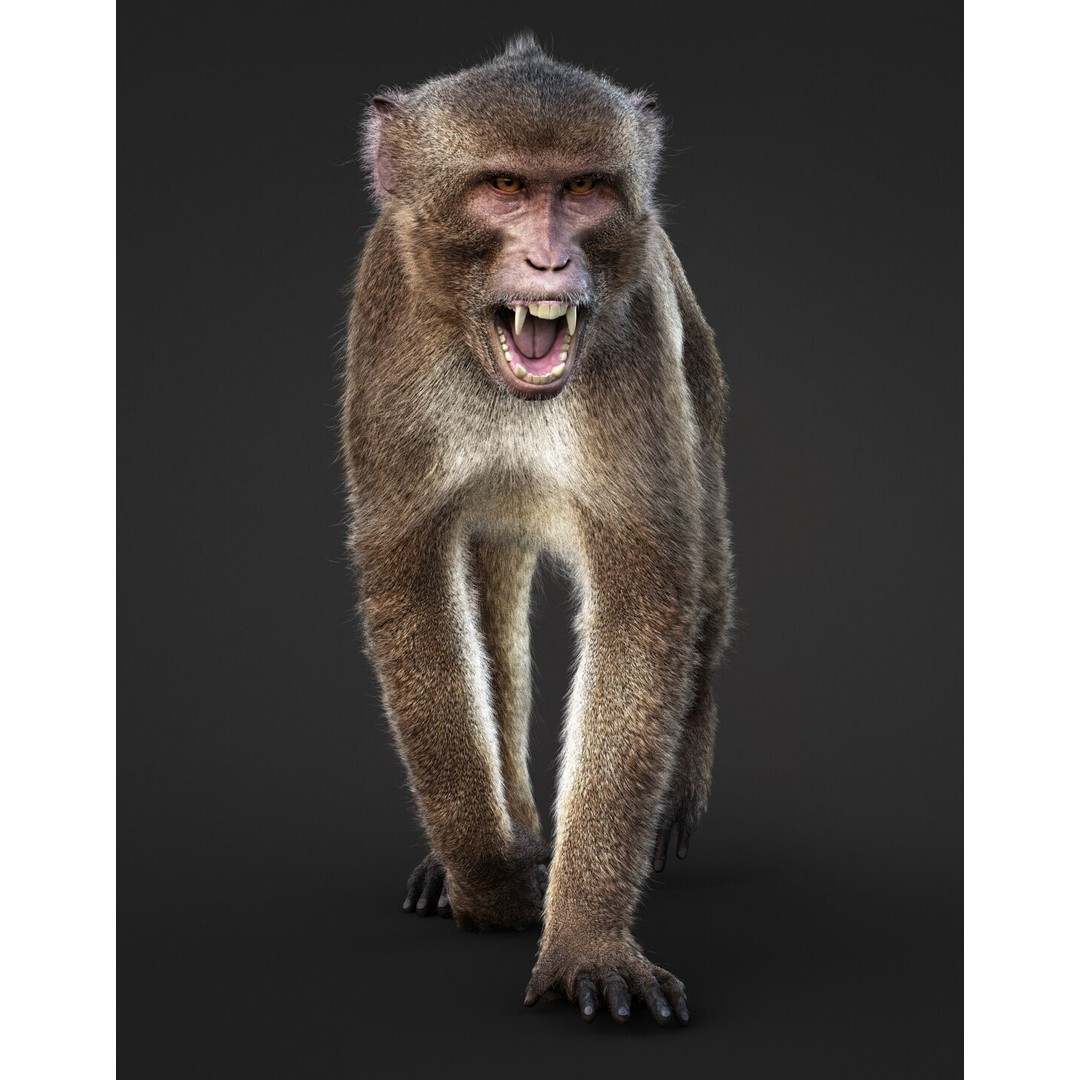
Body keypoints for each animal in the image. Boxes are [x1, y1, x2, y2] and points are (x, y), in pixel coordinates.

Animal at [340, 33, 734, 1026]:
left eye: (584, 189)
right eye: (506, 188)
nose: (554, 266)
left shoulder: (638, 344)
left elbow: (648, 596)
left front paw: (585, 938)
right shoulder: (388, 329)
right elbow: (412, 584)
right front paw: (486, 877)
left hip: (702, 379)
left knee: (707, 580)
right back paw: (504, 830)